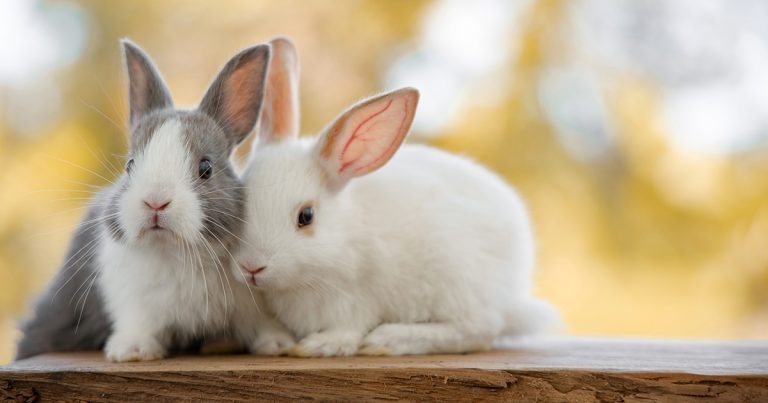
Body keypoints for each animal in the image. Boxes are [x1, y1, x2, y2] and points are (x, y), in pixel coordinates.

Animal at [17, 38, 296, 362]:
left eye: (205, 168)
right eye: (130, 165)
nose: (155, 202)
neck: (176, 252)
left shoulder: (250, 302)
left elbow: (259, 324)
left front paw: (278, 344)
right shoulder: (132, 301)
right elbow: (139, 322)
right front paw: (132, 351)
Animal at [232, 84, 561, 357]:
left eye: (306, 216)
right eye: (240, 201)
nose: (252, 268)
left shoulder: (354, 301)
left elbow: (347, 330)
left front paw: (319, 346)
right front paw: (275, 345)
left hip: (458, 282)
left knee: (477, 330)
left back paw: (389, 340)